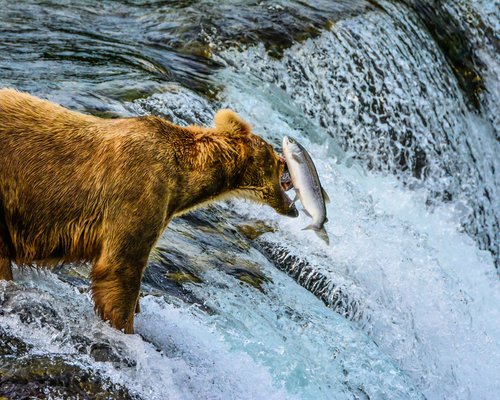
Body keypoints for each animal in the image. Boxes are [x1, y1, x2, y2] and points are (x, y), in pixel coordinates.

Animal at [0, 88, 296, 334]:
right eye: (273, 154)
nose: (286, 161)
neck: (182, 179)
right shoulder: (139, 192)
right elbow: (120, 268)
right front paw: (125, 327)